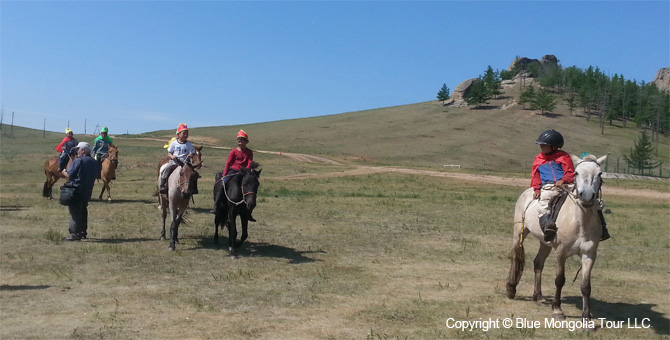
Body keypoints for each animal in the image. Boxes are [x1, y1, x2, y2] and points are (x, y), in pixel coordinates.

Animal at [510, 154, 608, 330]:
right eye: (576, 173)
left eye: (600, 173)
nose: (586, 195)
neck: (580, 221)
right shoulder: (561, 253)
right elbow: (560, 280)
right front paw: (557, 310)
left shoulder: (589, 254)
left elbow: (586, 286)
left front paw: (586, 319)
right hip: (519, 233)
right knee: (516, 256)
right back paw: (511, 289)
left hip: (545, 243)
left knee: (538, 263)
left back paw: (538, 296)